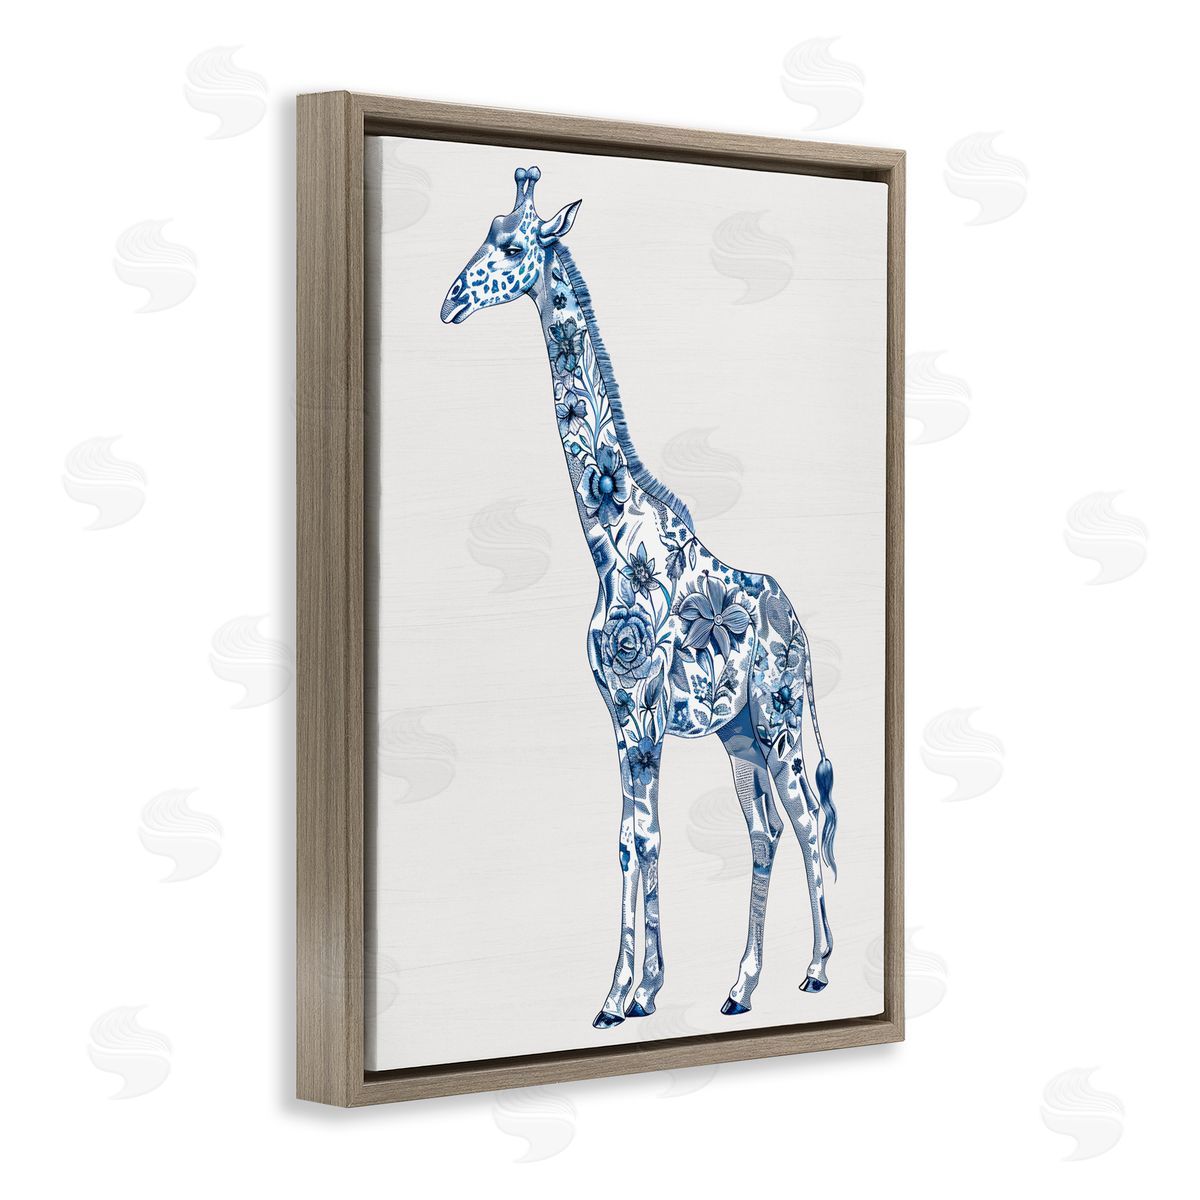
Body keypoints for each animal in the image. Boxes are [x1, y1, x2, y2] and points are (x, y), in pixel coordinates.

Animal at [440, 166, 838, 1029]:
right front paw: (635, 991)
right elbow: (627, 840)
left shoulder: (643, 709)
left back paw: (819, 970)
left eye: (513, 247)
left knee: (811, 820)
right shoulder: (620, 716)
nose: (449, 301)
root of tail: (798, 627)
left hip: (781, 719)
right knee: (766, 832)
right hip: (740, 735)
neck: (610, 538)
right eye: (486, 232)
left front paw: (625, 997)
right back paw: (739, 988)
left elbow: (646, 840)